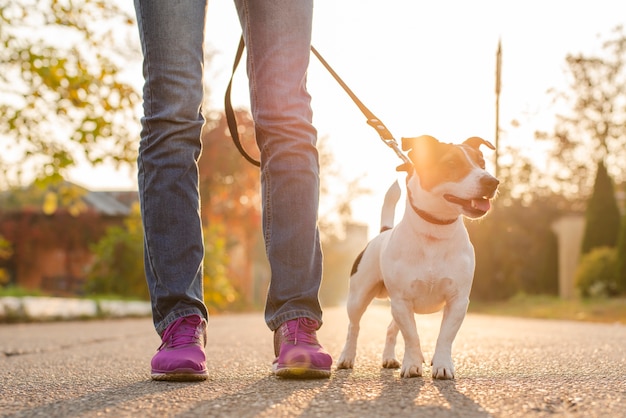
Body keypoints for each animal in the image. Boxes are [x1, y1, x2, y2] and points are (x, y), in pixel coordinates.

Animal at [336, 134, 498, 378]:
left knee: (390, 329)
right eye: (451, 164)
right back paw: (347, 357)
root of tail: (383, 231)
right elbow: (412, 337)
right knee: (353, 327)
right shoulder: (402, 300)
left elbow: (444, 337)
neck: (435, 230)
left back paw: (389, 358)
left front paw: (442, 364)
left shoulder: (457, 300)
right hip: (359, 297)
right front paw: (412, 364)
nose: (492, 182)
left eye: (482, 163)